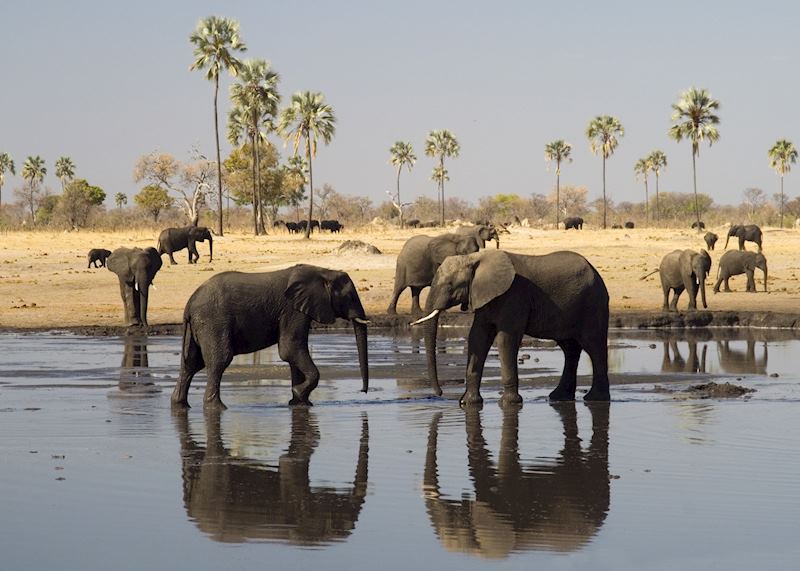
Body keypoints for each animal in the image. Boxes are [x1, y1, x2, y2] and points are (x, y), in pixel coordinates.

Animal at [171, 264, 369, 409]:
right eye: (351, 297)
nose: (363, 391)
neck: (323, 271)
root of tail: (189, 304)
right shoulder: (292, 310)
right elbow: (290, 349)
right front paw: (298, 394)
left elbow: (293, 354)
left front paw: (299, 403)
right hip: (214, 322)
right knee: (219, 361)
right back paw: (218, 408)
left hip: (199, 327)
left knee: (190, 365)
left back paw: (180, 405)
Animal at [413, 249, 610, 405]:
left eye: (449, 285)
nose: (439, 394)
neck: (474, 258)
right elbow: (477, 337)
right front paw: (469, 403)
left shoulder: (513, 296)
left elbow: (505, 339)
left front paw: (509, 403)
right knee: (570, 349)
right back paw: (558, 397)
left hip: (593, 303)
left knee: (594, 346)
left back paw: (595, 399)